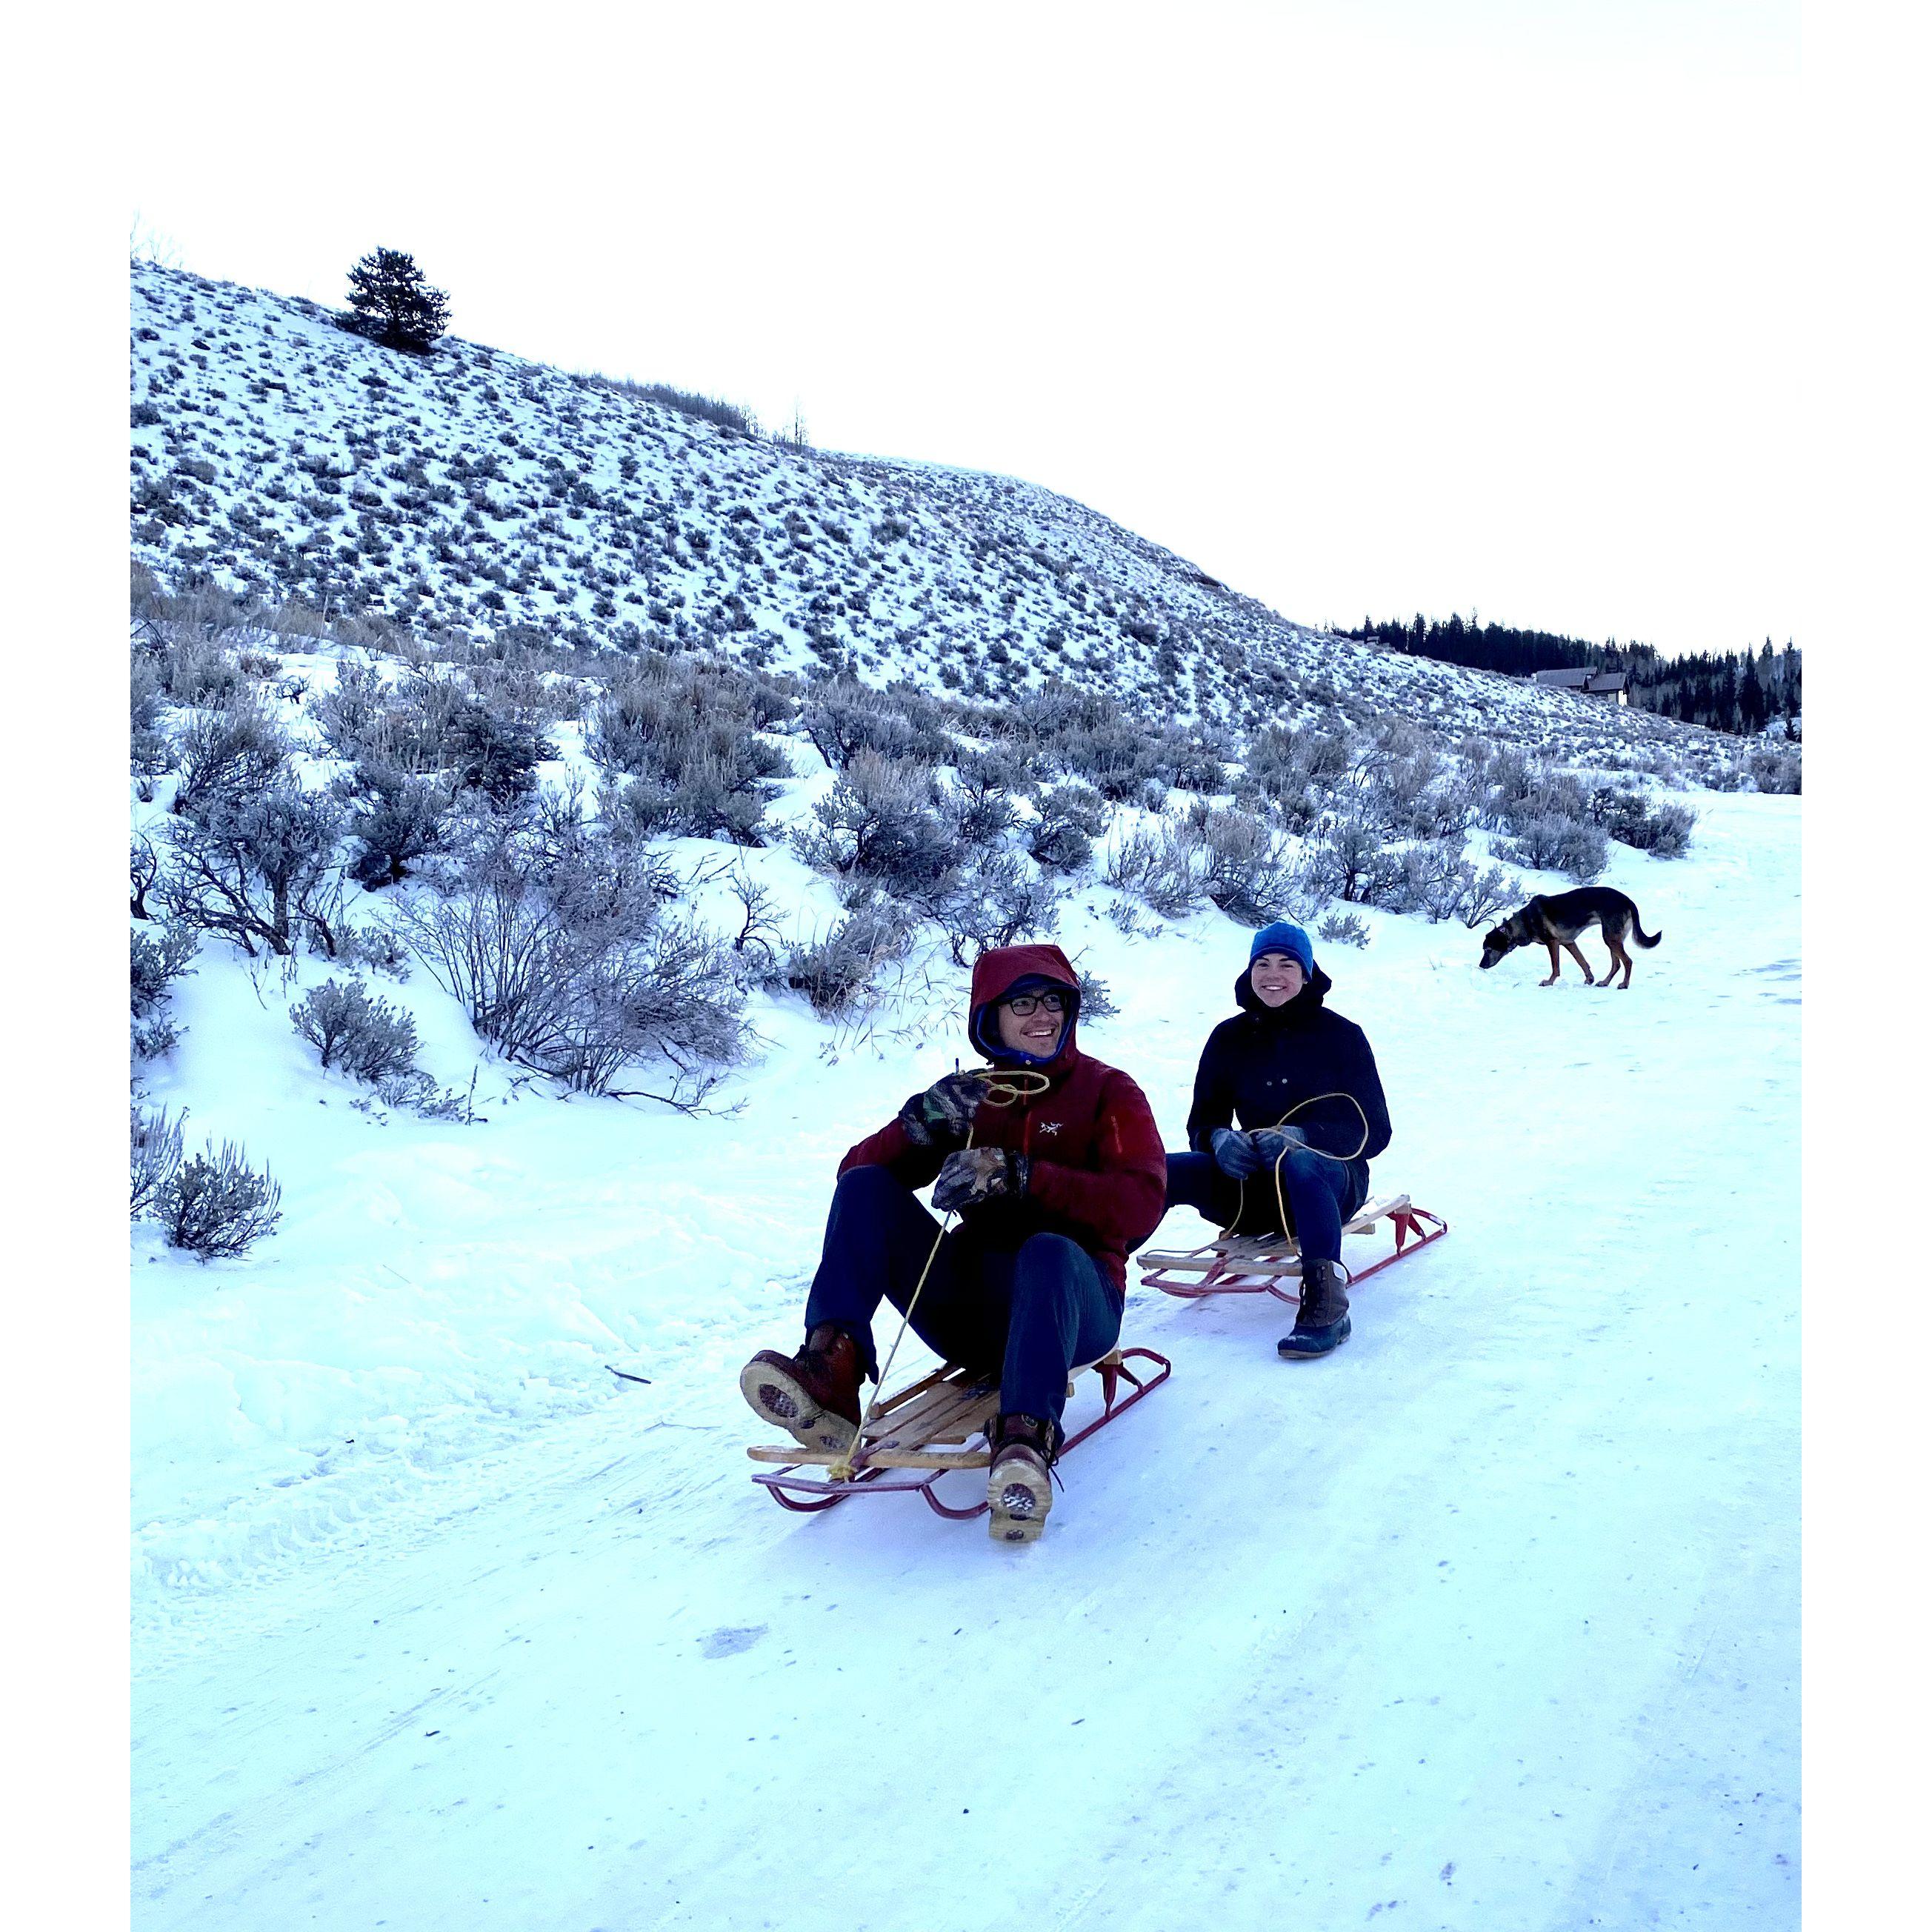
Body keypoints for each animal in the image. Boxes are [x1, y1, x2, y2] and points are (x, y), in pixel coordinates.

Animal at [1476, 885, 1661, 989]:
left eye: (1488, 950)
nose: (1481, 965)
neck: (1523, 923)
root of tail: (1629, 901)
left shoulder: (1553, 943)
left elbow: (1556, 967)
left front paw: (1549, 982)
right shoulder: (1569, 943)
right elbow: (1582, 962)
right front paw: (1590, 979)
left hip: (1610, 938)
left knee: (1628, 961)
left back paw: (1624, 985)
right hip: (1612, 938)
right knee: (1616, 964)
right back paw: (1604, 982)